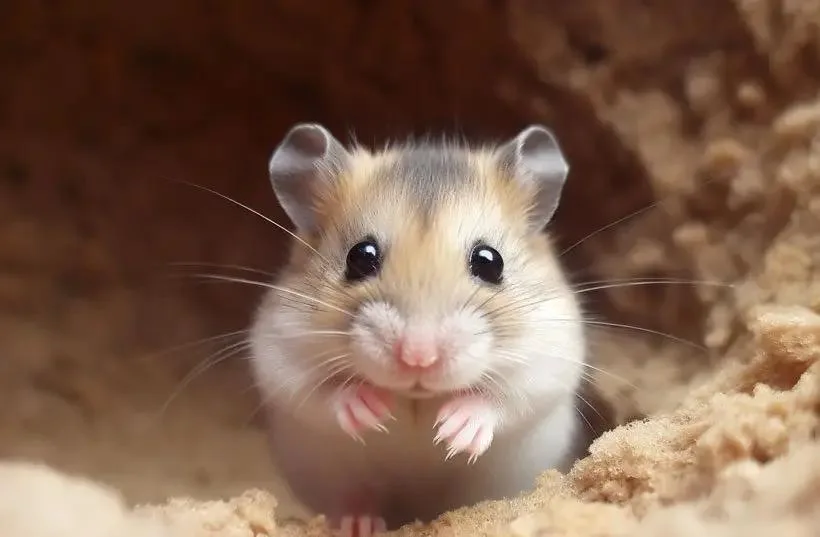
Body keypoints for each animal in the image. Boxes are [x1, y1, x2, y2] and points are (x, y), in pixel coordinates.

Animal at [249, 123, 586, 536]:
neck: (416, 397)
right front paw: (371, 408)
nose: (418, 358)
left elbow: (502, 398)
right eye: (360, 257)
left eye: (490, 261)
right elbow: (319, 392)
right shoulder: (280, 350)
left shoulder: (548, 358)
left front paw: (454, 429)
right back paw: (359, 523)